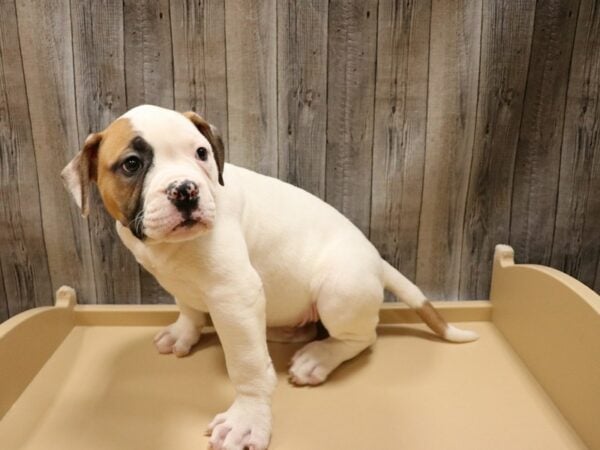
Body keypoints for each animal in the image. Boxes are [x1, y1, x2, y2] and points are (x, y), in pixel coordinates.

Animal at [61, 104, 478, 450]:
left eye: (201, 153)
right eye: (132, 164)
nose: (185, 190)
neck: (169, 248)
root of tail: (376, 260)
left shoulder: (233, 295)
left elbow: (246, 366)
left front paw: (247, 421)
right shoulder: (180, 282)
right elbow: (189, 308)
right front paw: (183, 333)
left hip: (339, 290)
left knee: (362, 336)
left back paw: (319, 358)